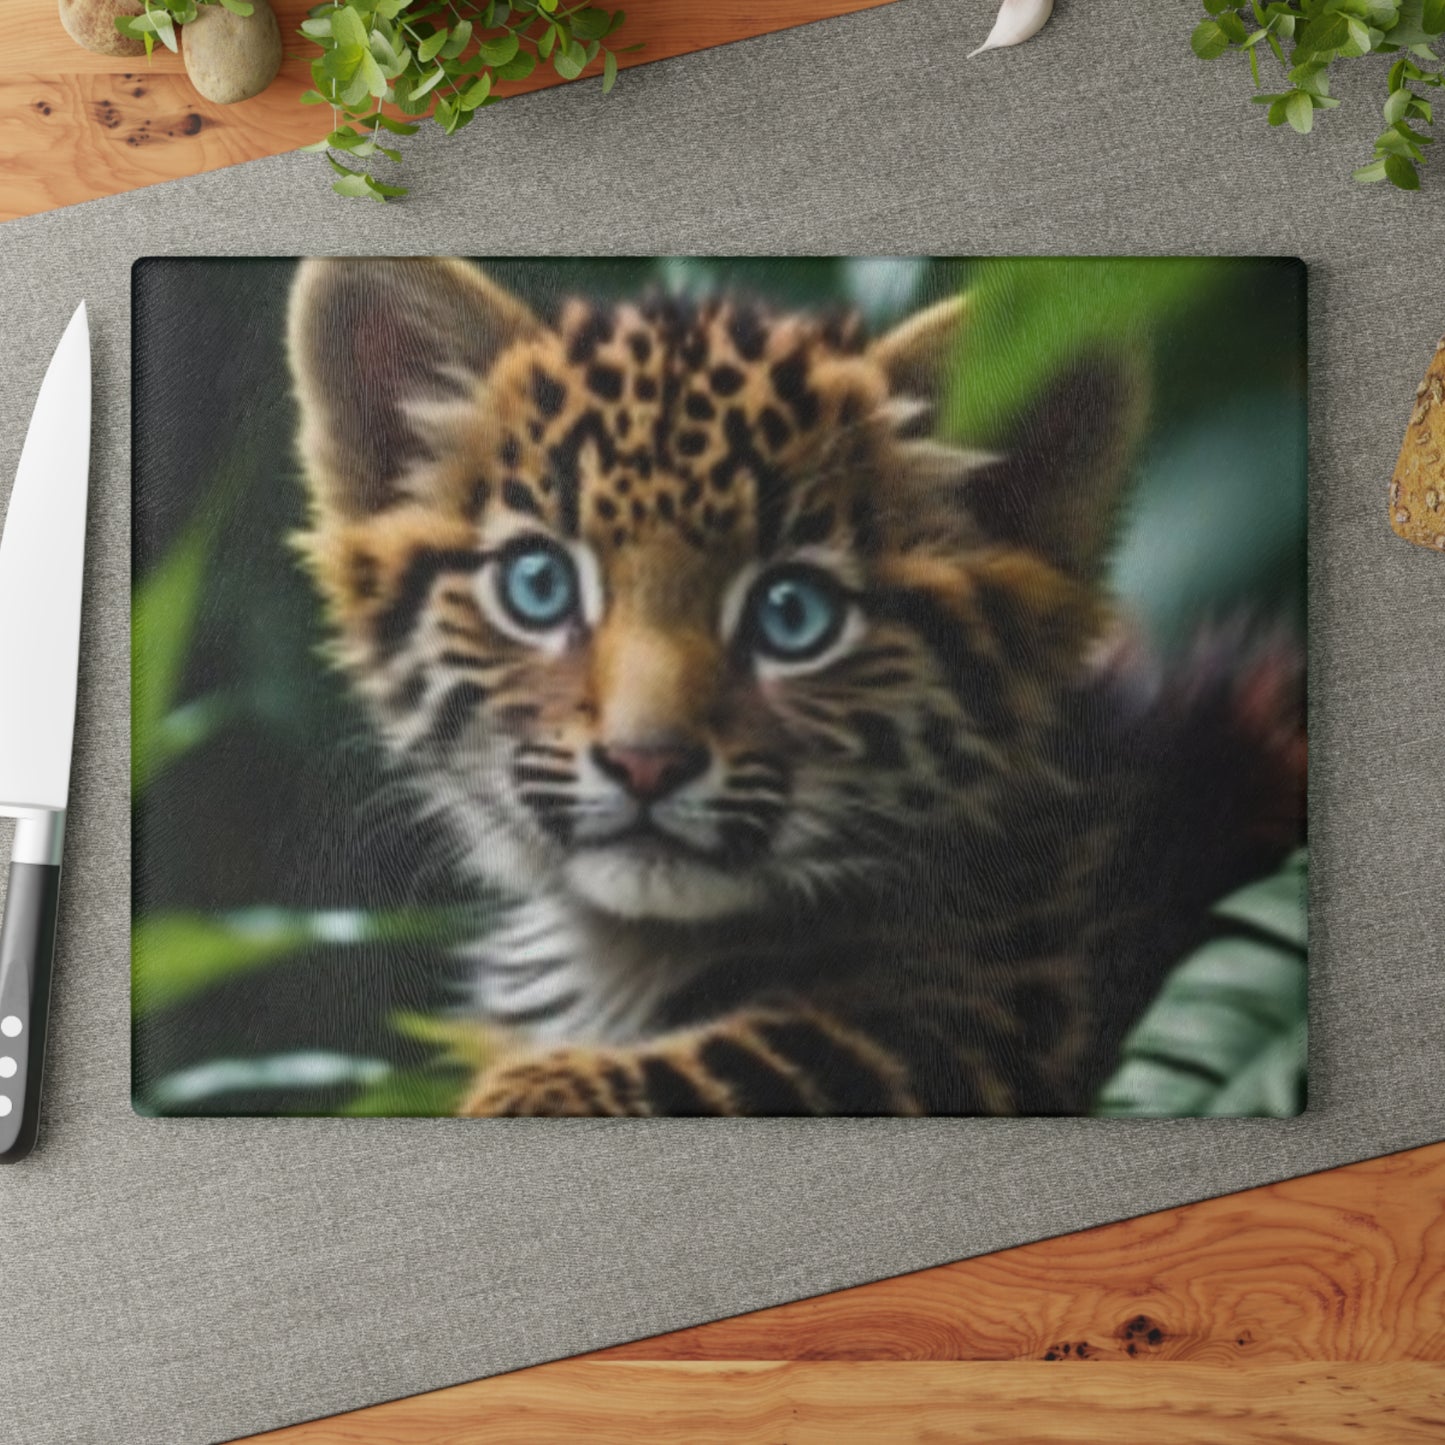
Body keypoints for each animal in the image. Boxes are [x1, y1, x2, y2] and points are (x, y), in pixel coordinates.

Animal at [286, 256, 1305, 1117]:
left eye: (791, 614)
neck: (631, 946)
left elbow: (764, 1058)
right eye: (538, 586)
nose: (644, 763)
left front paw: (528, 1089)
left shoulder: (1003, 1022)